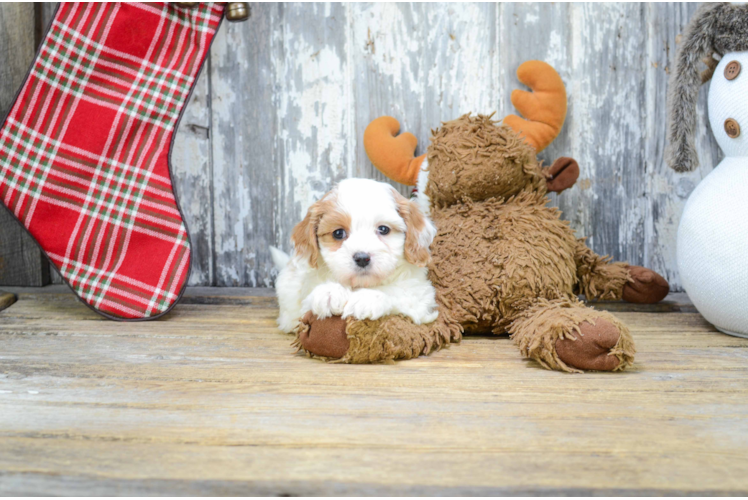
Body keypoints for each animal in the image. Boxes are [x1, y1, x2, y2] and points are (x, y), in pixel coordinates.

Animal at [272, 178, 438, 334]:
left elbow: (398, 292)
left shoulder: (420, 294)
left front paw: (367, 298)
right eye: (338, 233)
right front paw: (329, 292)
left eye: (383, 229)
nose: (362, 258)